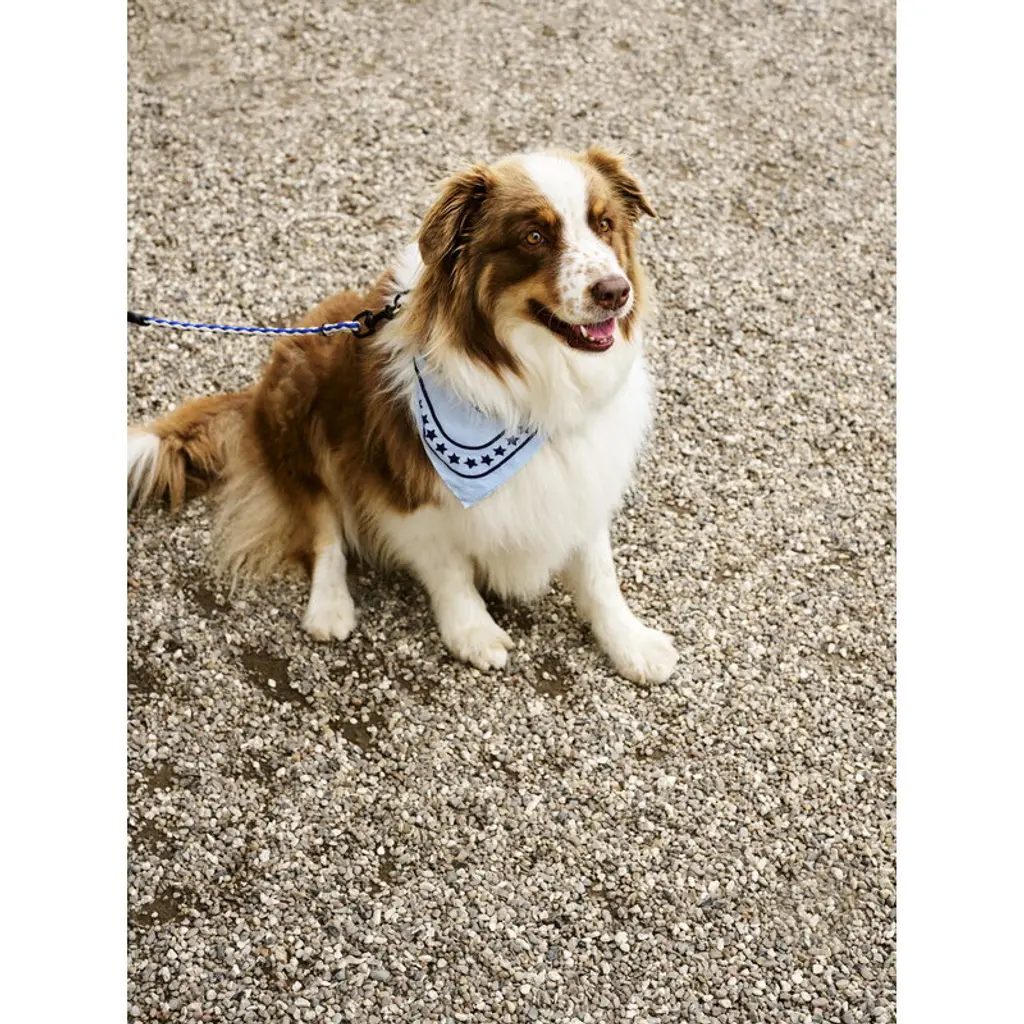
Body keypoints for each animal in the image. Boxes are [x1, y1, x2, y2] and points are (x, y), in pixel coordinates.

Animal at [128, 146, 678, 684]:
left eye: (604, 224)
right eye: (535, 236)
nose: (615, 291)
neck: (533, 384)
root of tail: (256, 395)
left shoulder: (586, 475)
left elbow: (598, 572)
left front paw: (630, 643)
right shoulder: (405, 486)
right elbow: (448, 565)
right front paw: (473, 631)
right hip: (303, 404)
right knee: (323, 528)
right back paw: (330, 607)